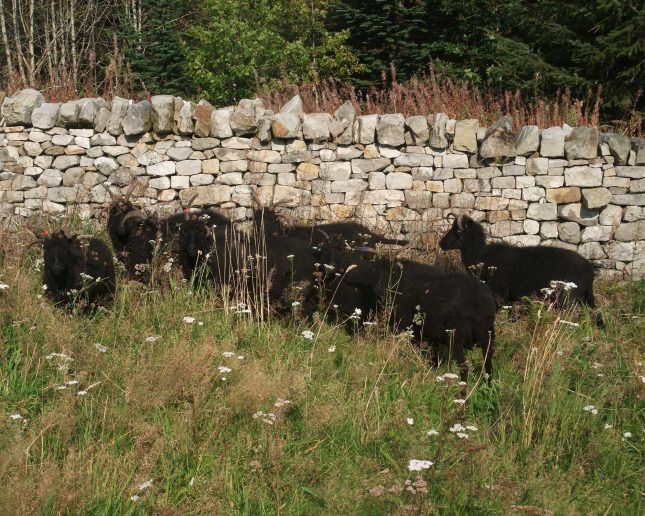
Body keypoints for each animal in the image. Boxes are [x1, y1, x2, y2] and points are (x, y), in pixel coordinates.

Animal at [439, 214, 597, 308]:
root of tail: (590, 270)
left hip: (569, 299)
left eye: (458, 231)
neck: (483, 256)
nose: (441, 243)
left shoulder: (501, 294)